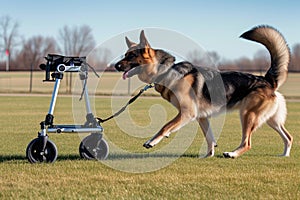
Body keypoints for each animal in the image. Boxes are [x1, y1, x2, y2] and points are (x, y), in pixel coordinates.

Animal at [115, 25, 292, 158]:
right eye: (125, 55)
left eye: (131, 56)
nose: (115, 66)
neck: (165, 71)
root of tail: (267, 80)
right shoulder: (202, 117)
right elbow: (210, 139)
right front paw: (208, 155)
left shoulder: (187, 113)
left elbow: (166, 126)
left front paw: (151, 141)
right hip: (270, 120)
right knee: (288, 137)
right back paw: (284, 155)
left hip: (248, 115)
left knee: (247, 143)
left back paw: (232, 154)